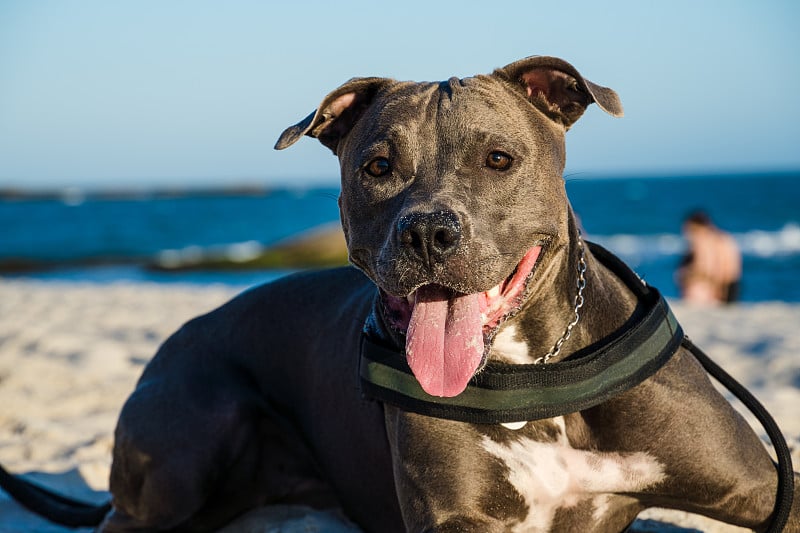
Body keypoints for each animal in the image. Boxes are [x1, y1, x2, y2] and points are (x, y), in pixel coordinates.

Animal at [79, 56, 792, 528]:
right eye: (378, 166)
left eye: (498, 159)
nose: (427, 231)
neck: (530, 374)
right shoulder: (455, 517)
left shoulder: (765, 489)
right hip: (191, 441)